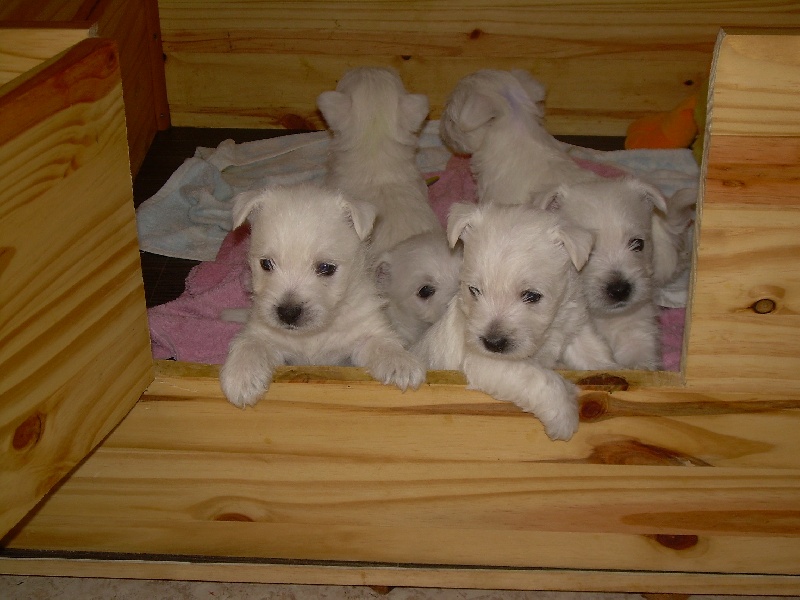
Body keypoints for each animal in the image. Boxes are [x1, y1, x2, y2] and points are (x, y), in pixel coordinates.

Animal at [219, 184, 424, 408]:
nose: (288, 313)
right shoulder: (264, 334)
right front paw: (241, 378)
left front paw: (401, 364)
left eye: (326, 268)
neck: (313, 334)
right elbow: (250, 345)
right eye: (266, 264)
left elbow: (382, 344)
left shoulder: (364, 334)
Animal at [412, 202, 620, 440]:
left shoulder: (573, 325)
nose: (492, 343)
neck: (547, 336)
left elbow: (593, 352)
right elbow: (538, 377)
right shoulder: (486, 362)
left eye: (532, 295)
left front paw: (612, 368)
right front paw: (564, 414)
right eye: (474, 290)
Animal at [536, 176, 680, 368]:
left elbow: (640, 360)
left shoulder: (637, 328)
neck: (602, 317)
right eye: (588, 250)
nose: (620, 290)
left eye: (638, 244)